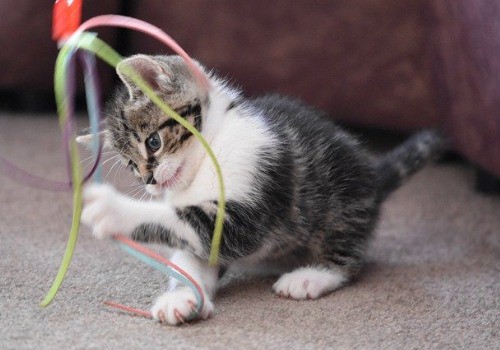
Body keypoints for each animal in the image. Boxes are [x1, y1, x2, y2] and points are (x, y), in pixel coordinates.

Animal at [78, 54, 446, 326]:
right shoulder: (203, 235)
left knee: (348, 257)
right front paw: (182, 297)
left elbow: (185, 220)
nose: (150, 181)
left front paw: (113, 209)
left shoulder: (254, 191)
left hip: (341, 202)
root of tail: (373, 175)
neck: (209, 156)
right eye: (131, 165)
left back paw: (311, 276)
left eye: (153, 142)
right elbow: (190, 252)